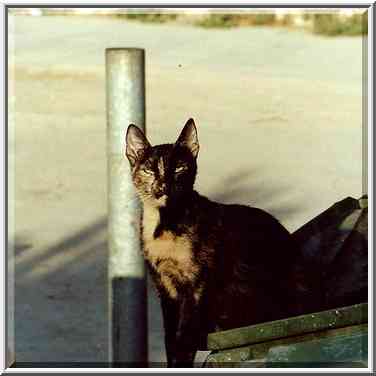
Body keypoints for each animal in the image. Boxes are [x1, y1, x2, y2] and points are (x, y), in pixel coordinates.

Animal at [125, 118, 308, 368]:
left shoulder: (195, 286)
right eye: (148, 169)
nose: (163, 187)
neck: (163, 227)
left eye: (179, 168)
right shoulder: (164, 288)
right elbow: (169, 340)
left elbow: (183, 339)